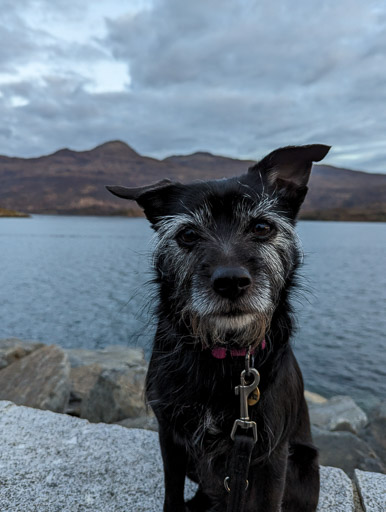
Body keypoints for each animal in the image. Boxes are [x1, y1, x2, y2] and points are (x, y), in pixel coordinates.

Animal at [107, 143, 330, 512]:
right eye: (187, 234)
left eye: (261, 227)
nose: (231, 282)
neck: (224, 356)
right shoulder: (170, 437)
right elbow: (172, 495)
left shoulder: (272, 456)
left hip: (303, 463)